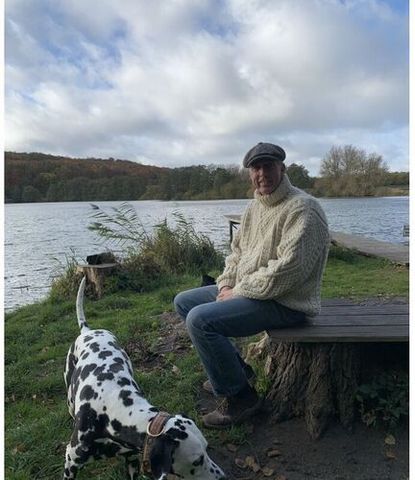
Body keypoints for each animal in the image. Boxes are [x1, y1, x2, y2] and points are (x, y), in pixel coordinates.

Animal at [64, 278, 228, 480]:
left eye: (207, 448)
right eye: (197, 460)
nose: (223, 477)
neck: (112, 412)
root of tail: (88, 331)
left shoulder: (132, 460)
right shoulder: (71, 461)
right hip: (70, 399)